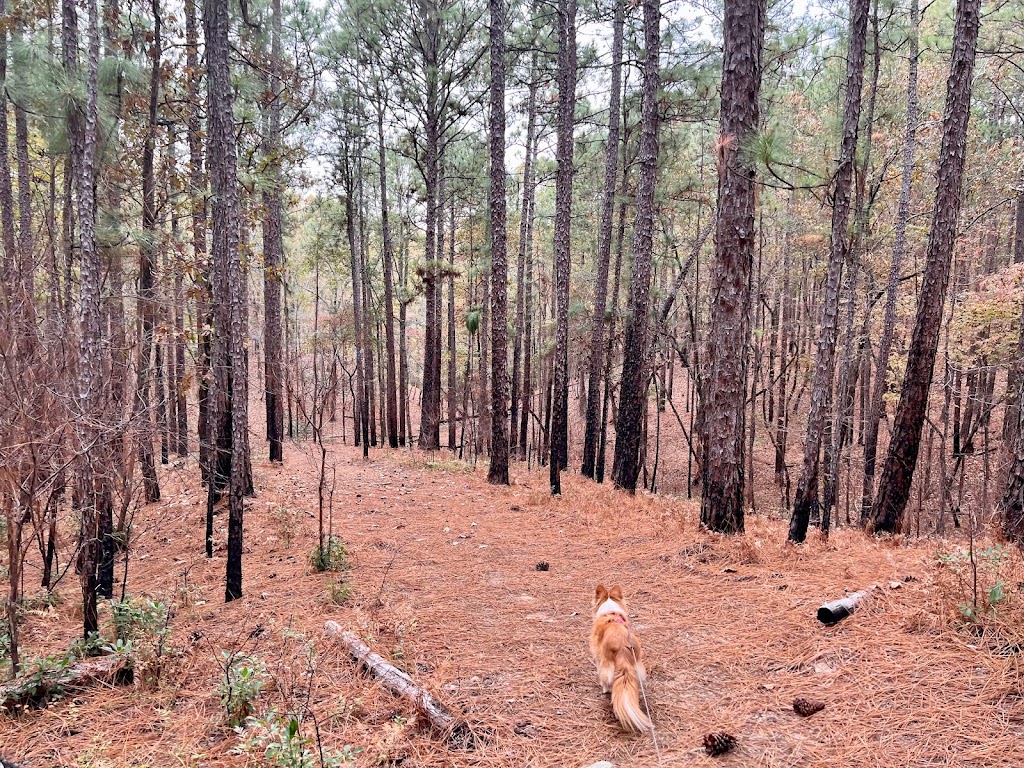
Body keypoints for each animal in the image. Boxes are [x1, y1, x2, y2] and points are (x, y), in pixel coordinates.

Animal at [589, 581, 651, 733]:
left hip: (606, 666)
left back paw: (605, 689)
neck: (610, 612)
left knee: (607, 681)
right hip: (638, 666)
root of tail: (622, 646)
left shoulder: (597, 656)